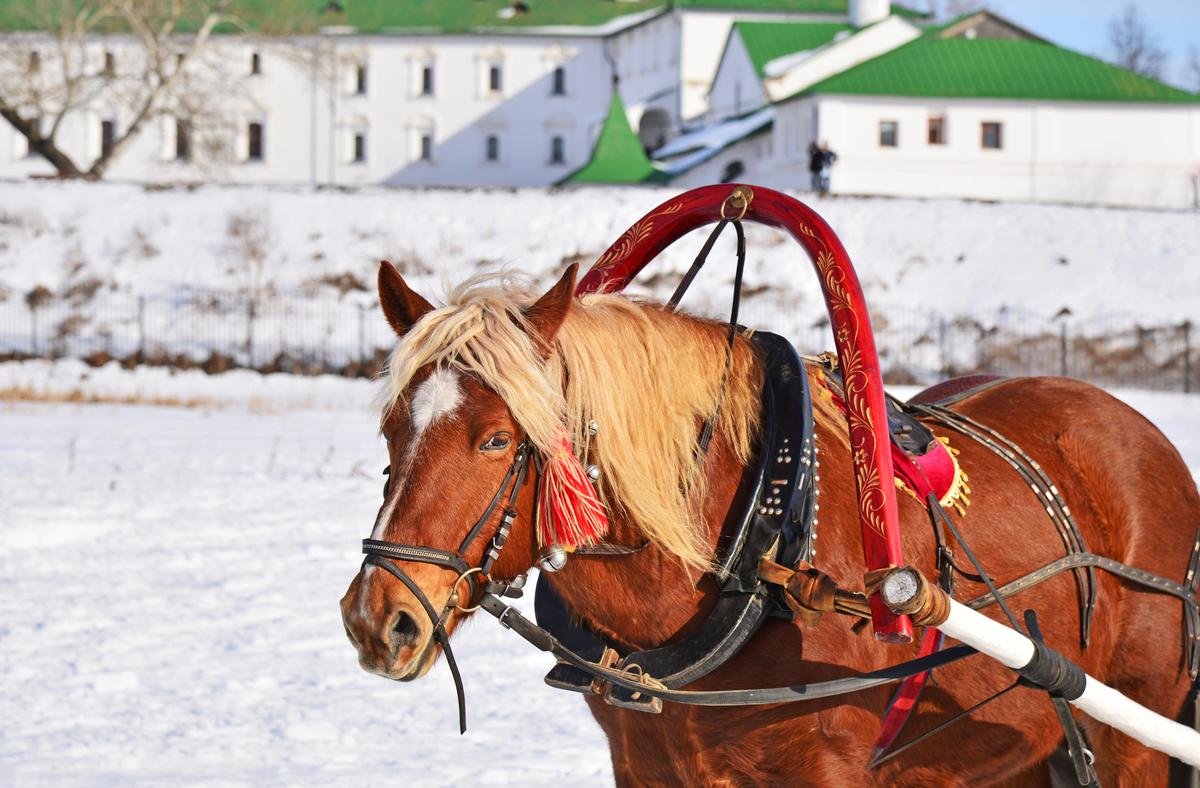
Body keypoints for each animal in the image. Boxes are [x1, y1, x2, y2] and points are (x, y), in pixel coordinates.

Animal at [340, 259, 1199, 786]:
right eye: (388, 429)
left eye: (495, 438)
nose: (378, 618)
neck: (757, 565)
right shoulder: (645, 766)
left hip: (1133, 724)